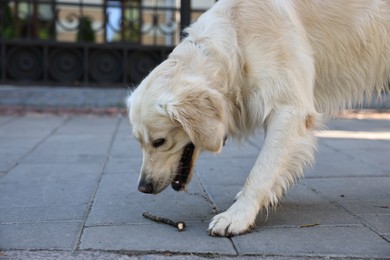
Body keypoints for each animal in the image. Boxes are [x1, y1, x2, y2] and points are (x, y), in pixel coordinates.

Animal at [127, 0, 390, 237]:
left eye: (159, 142)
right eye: (138, 142)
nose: (143, 187)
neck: (236, 39)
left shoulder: (289, 111)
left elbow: (262, 169)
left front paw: (237, 215)